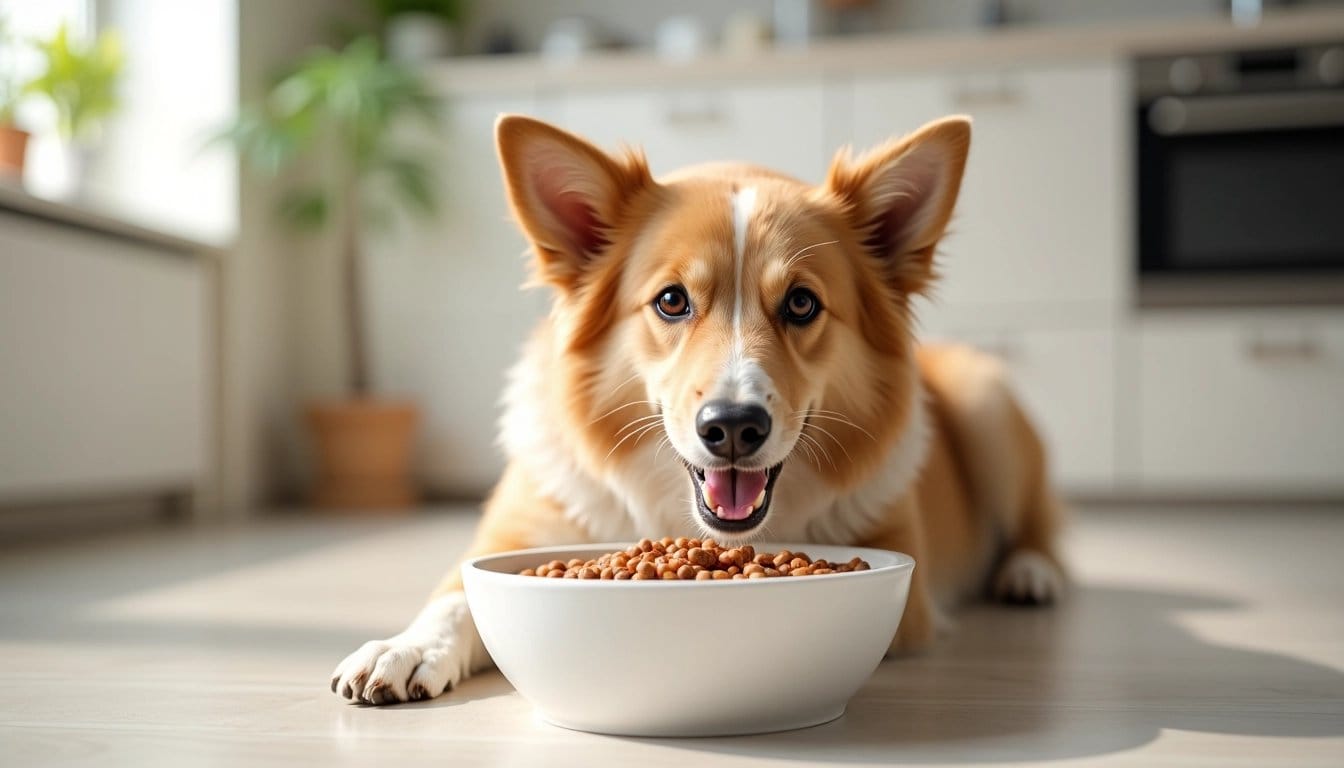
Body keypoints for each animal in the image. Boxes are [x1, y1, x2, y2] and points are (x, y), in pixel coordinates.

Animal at [327, 115, 1059, 710]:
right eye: (672, 300)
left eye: (801, 303)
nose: (733, 427)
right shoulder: (510, 538)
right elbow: (454, 597)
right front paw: (402, 649)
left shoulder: (907, 594)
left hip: (988, 403)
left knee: (1038, 525)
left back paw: (1030, 574)